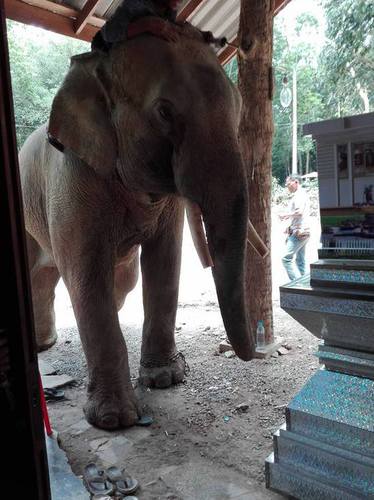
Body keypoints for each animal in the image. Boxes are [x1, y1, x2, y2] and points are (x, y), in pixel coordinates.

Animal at [19, 22, 256, 430]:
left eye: (240, 106)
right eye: (164, 112)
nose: (254, 351)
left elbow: (164, 262)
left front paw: (165, 379)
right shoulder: (73, 181)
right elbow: (87, 277)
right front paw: (115, 419)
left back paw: (45, 343)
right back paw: (42, 347)